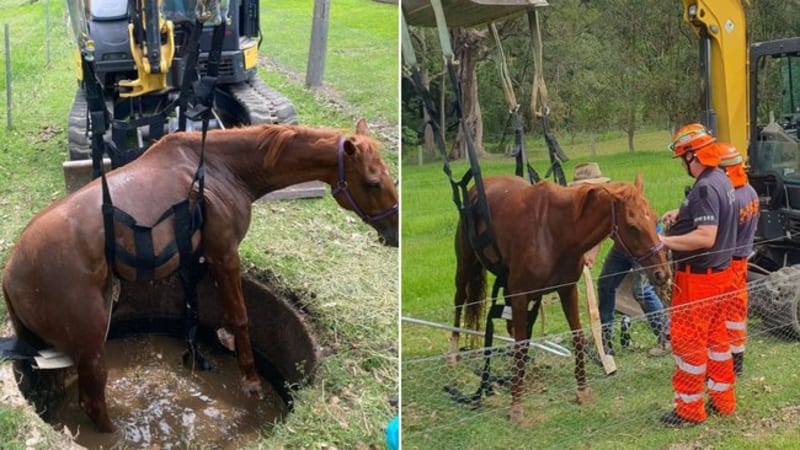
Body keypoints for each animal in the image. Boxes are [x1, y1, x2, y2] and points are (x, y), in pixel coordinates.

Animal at [1, 119, 398, 432]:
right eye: (373, 182)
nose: (394, 232)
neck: (221, 169)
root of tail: (10, 274)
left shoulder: (198, 263)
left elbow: (196, 315)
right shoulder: (225, 255)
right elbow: (239, 318)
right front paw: (251, 382)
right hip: (91, 348)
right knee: (93, 403)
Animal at [449, 174, 669, 422]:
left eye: (654, 218)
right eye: (632, 227)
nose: (662, 273)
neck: (555, 232)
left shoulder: (567, 290)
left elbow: (577, 336)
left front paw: (582, 390)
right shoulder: (520, 295)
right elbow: (521, 345)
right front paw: (516, 405)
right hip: (466, 265)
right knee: (460, 300)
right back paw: (453, 353)